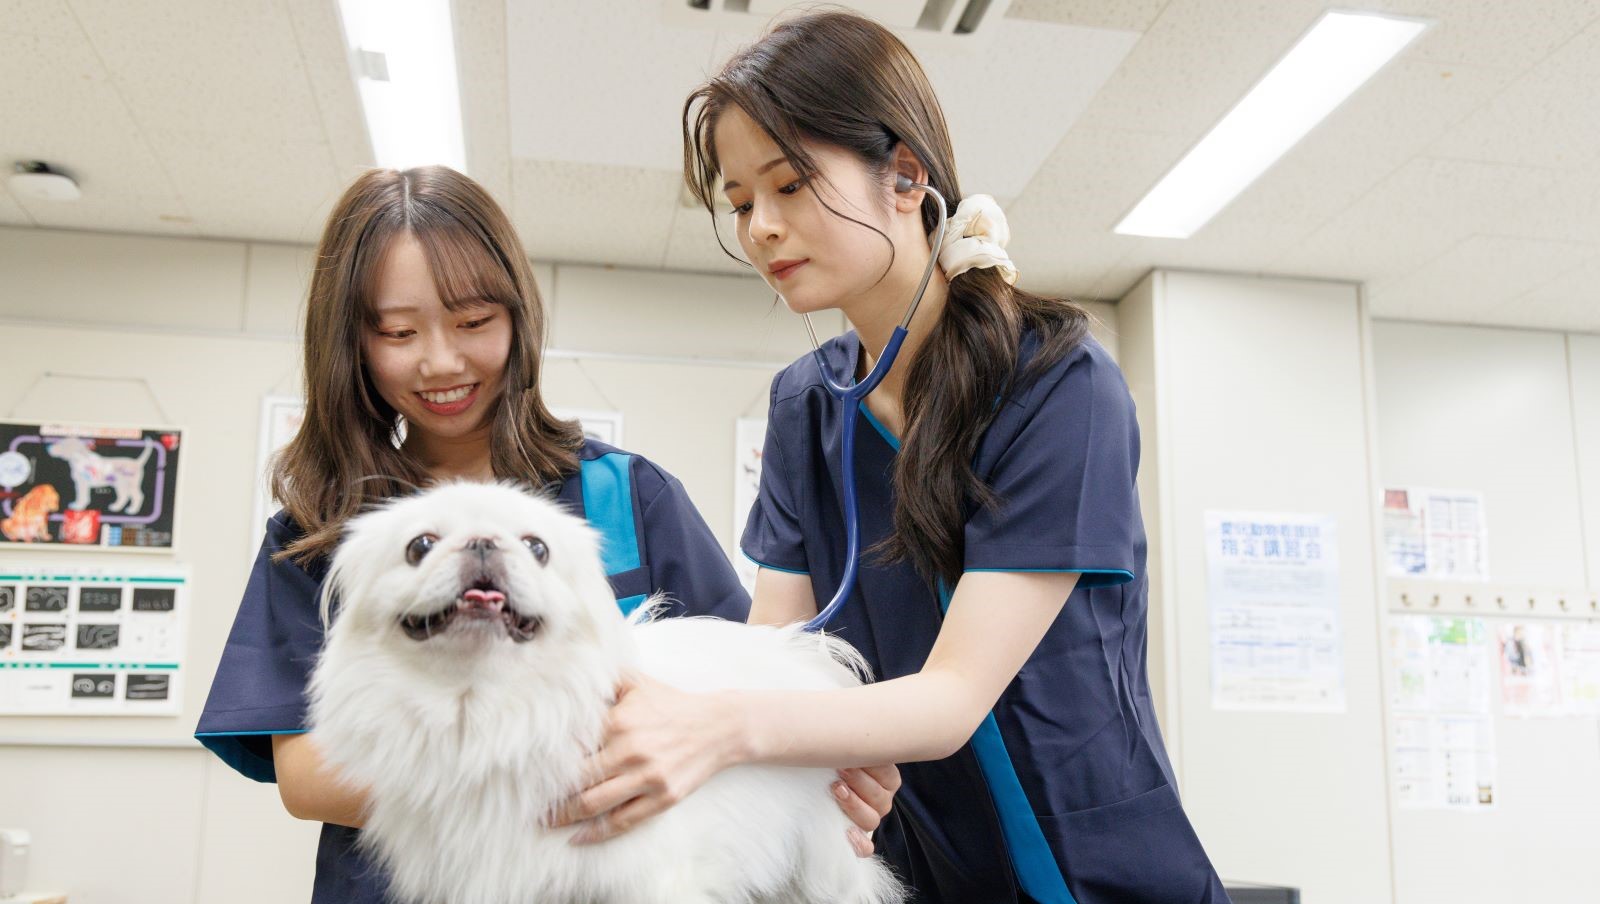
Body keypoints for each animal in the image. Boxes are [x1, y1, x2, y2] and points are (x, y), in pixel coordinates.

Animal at [307, 480, 908, 902]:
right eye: (421, 546)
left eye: (537, 548)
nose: (482, 542)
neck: (483, 712)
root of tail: (805, 655)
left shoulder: (649, 881)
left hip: (822, 867)